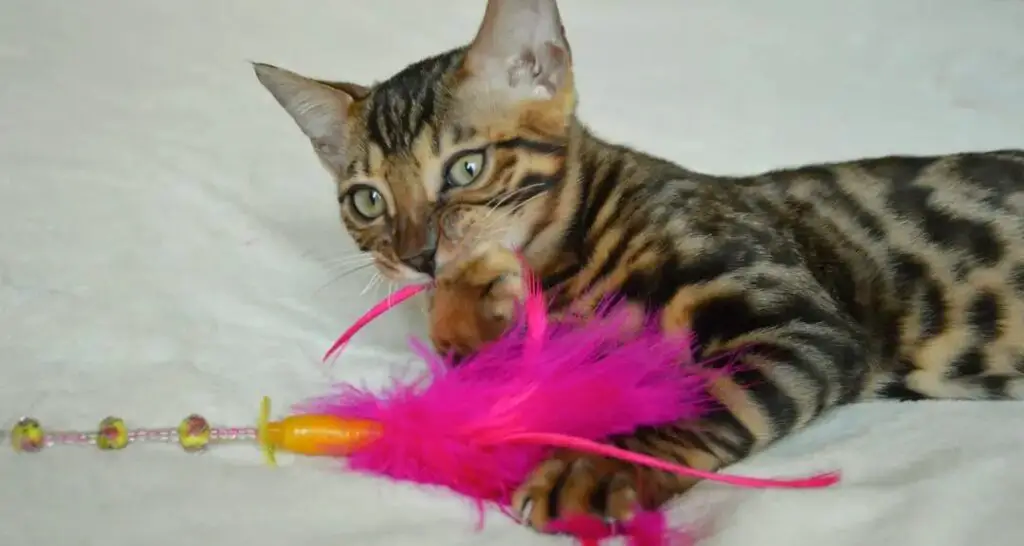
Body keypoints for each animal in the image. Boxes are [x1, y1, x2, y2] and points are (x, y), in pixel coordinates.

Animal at [251, 0, 1024, 532]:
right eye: (367, 200)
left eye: (466, 167)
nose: (416, 255)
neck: (572, 259)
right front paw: (466, 304)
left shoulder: (803, 316)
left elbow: (706, 395)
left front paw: (593, 464)